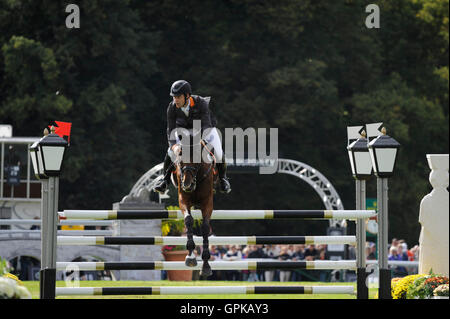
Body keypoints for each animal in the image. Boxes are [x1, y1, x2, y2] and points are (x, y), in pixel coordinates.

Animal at [171, 132, 218, 278]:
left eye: (197, 155)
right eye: (181, 155)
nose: (187, 184)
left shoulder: (207, 202)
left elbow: (205, 228)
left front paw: (206, 265)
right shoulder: (183, 200)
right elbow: (188, 221)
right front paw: (190, 256)